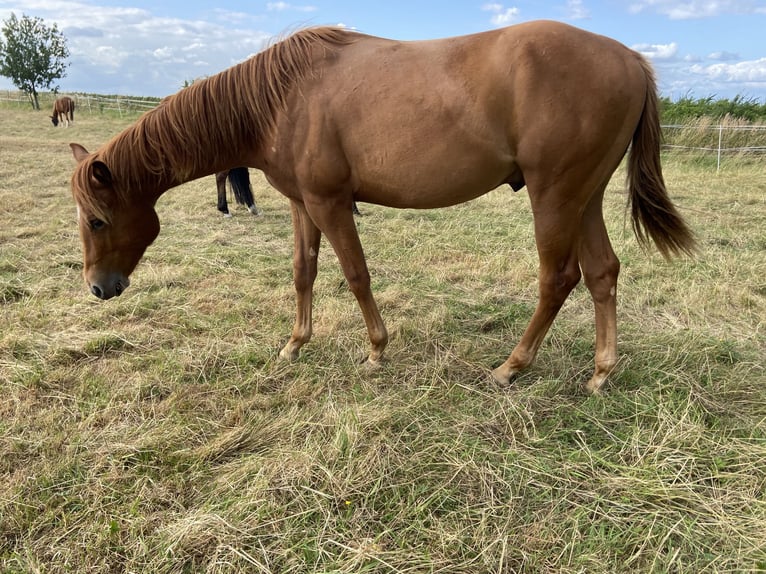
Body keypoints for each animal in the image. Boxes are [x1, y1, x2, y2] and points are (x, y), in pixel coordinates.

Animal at [68, 21, 695, 394]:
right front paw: (295, 343)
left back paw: (512, 365)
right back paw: (600, 373)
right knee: (602, 273)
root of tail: (631, 59)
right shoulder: (302, 204)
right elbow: (303, 272)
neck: (279, 98)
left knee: (558, 278)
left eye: (97, 219)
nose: (98, 288)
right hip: (584, 197)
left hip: (555, 196)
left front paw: (375, 351)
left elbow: (355, 274)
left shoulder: (330, 203)